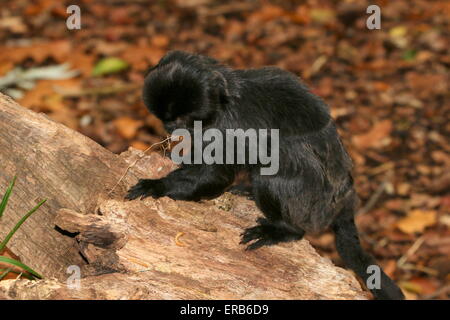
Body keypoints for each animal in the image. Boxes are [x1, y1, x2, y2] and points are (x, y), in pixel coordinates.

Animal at [125, 50, 404, 300]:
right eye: (168, 119)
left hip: (313, 206)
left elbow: (215, 176)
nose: (171, 127)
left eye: (182, 118)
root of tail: (344, 199)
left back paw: (285, 229)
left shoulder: (229, 128)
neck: (226, 100)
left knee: (273, 172)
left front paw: (156, 186)